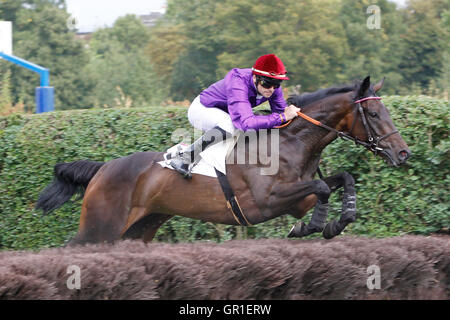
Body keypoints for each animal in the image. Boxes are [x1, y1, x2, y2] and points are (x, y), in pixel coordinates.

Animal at [37, 75, 412, 245]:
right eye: (374, 114)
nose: (403, 153)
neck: (289, 143)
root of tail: (103, 168)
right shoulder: (266, 201)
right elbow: (321, 187)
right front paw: (316, 225)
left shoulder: (298, 195)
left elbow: (342, 179)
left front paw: (337, 221)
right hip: (101, 227)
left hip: (139, 229)